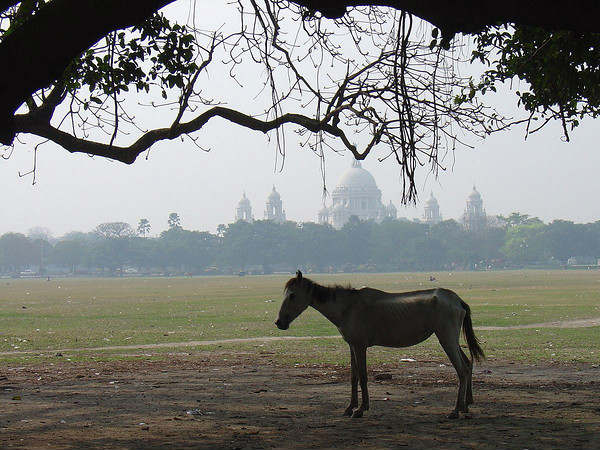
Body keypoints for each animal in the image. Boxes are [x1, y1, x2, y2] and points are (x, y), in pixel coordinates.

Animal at [274, 272, 486, 420]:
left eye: (292, 295)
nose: (279, 322)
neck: (347, 307)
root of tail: (457, 300)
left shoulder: (360, 346)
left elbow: (363, 376)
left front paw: (361, 409)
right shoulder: (352, 346)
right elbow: (353, 377)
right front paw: (350, 407)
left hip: (446, 339)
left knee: (462, 370)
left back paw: (456, 410)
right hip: (451, 340)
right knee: (468, 364)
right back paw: (466, 405)